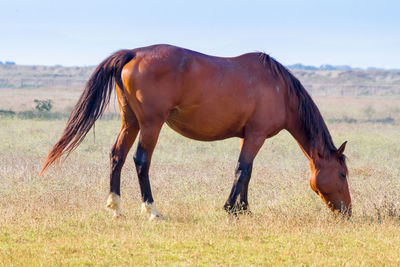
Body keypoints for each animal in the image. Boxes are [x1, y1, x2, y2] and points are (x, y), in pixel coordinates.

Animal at [39, 44, 352, 220]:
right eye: (342, 174)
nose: (347, 212)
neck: (280, 90)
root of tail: (134, 53)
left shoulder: (249, 137)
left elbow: (248, 172)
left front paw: (244, 209)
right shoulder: (255, 136)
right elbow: (242, 170)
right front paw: (230, 209)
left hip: (131, 122)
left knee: (117, 156)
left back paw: (116, 207)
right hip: (151, 124)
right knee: (141, 161)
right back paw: (151, 210)